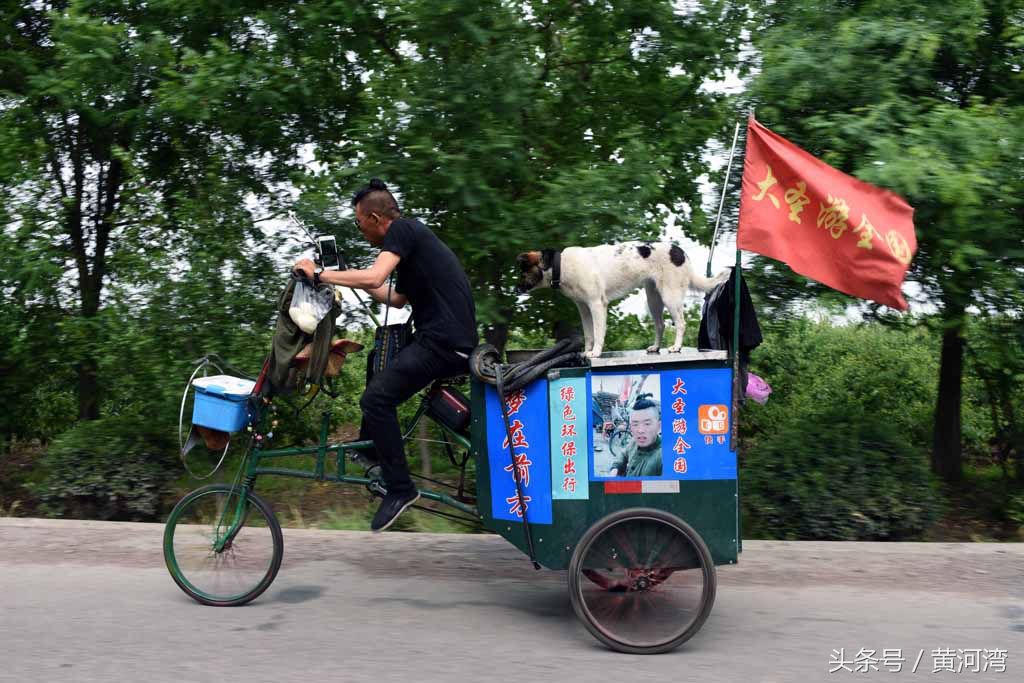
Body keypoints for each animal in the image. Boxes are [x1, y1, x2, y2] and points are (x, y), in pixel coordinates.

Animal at [520, 241, 729, 358]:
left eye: (523, 273)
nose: (516, 289)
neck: (561, 266)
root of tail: (681, 253)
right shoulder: (583, 308)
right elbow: (588, 334)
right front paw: (586, 352)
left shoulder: (596, 304)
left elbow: (598, 333)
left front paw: (595, 353)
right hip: (654, 299)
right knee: (660, 325)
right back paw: (656, 347)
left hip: (670, 296)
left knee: (681, 323)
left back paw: (676, 347)